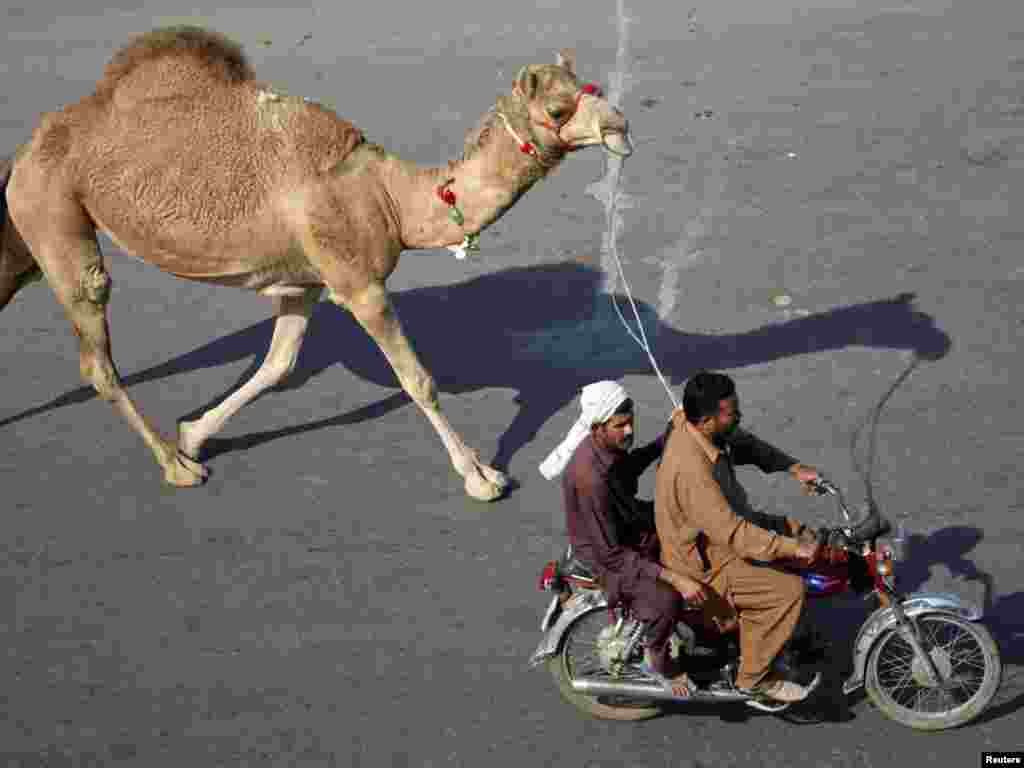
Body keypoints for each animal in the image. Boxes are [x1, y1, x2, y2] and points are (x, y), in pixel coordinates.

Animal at [0, 24, 630, 501]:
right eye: (558, 107)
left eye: (591, 85)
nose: (619, 125)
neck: (389, 196)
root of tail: (27, 147)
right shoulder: (358, 282)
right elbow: (418, 379)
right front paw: (481, 475)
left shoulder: (304, 281)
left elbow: (279, 365)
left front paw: (195, 432)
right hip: (54, 209)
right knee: (97, 357)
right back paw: (175, 467)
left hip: (27, 225)